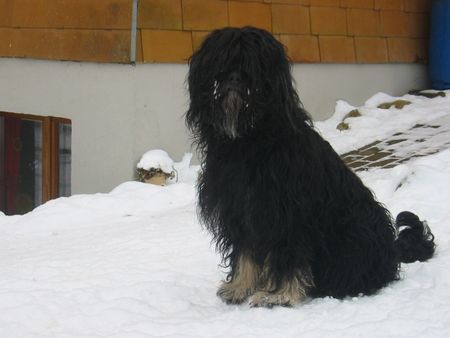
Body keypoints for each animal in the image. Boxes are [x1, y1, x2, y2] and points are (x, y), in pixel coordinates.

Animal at [185, 25, 434, 308]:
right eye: (221, 59)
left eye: (254, 62)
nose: (235, 78)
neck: (249, 140)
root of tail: (391, 249)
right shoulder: (240, 210)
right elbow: (244, 253)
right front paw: (239, 287)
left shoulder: (286, 214)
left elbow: (287, 256)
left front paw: (278, 294)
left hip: (354, 234)